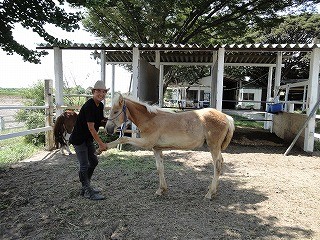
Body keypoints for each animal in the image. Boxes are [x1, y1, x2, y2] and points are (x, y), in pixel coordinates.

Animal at [104, 93, 235, 200]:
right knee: (221, 162)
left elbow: (123, 138)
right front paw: (161, 190)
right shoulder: (156, 148)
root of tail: (226, 117)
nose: (108, 129)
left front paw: (103, 147)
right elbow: (159, 168)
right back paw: (212, 189)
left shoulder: (146, 143)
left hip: (213, 146)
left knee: (217, 165)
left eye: (115, 111)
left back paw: (210, 193)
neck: (149, 119)